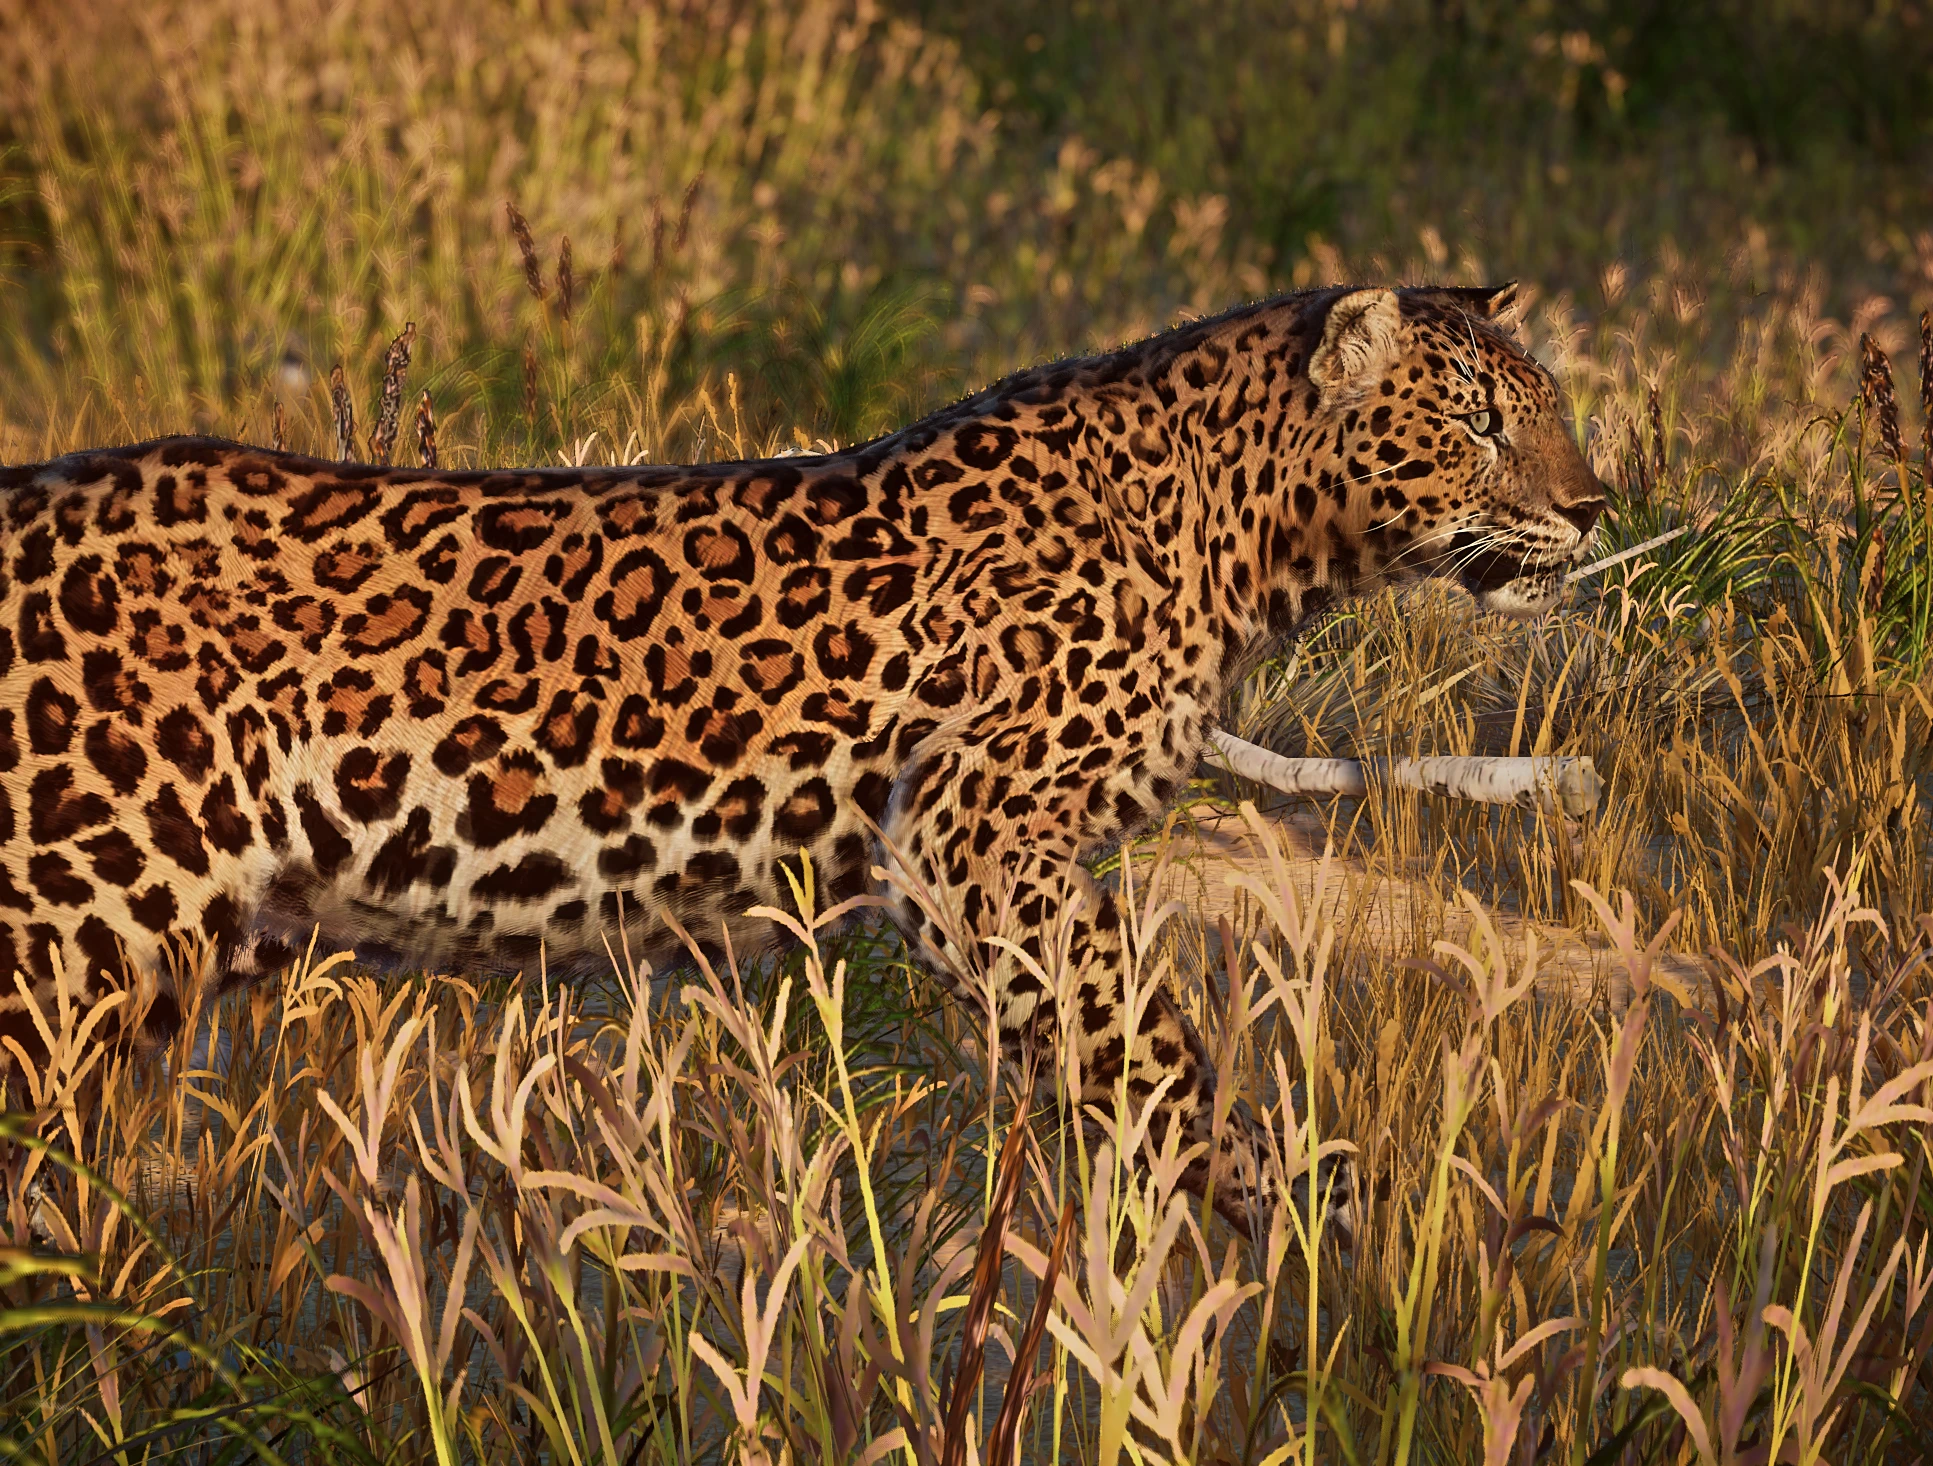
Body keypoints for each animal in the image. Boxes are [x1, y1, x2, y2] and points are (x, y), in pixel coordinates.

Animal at [0, 283, 1602, 1232]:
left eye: (1549, 413)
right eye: (1477, 424)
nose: (1595, 507)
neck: (1243, 535)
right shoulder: (974, 841)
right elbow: (1147, 1038)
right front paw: (1265, 1211)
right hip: (69, 922)